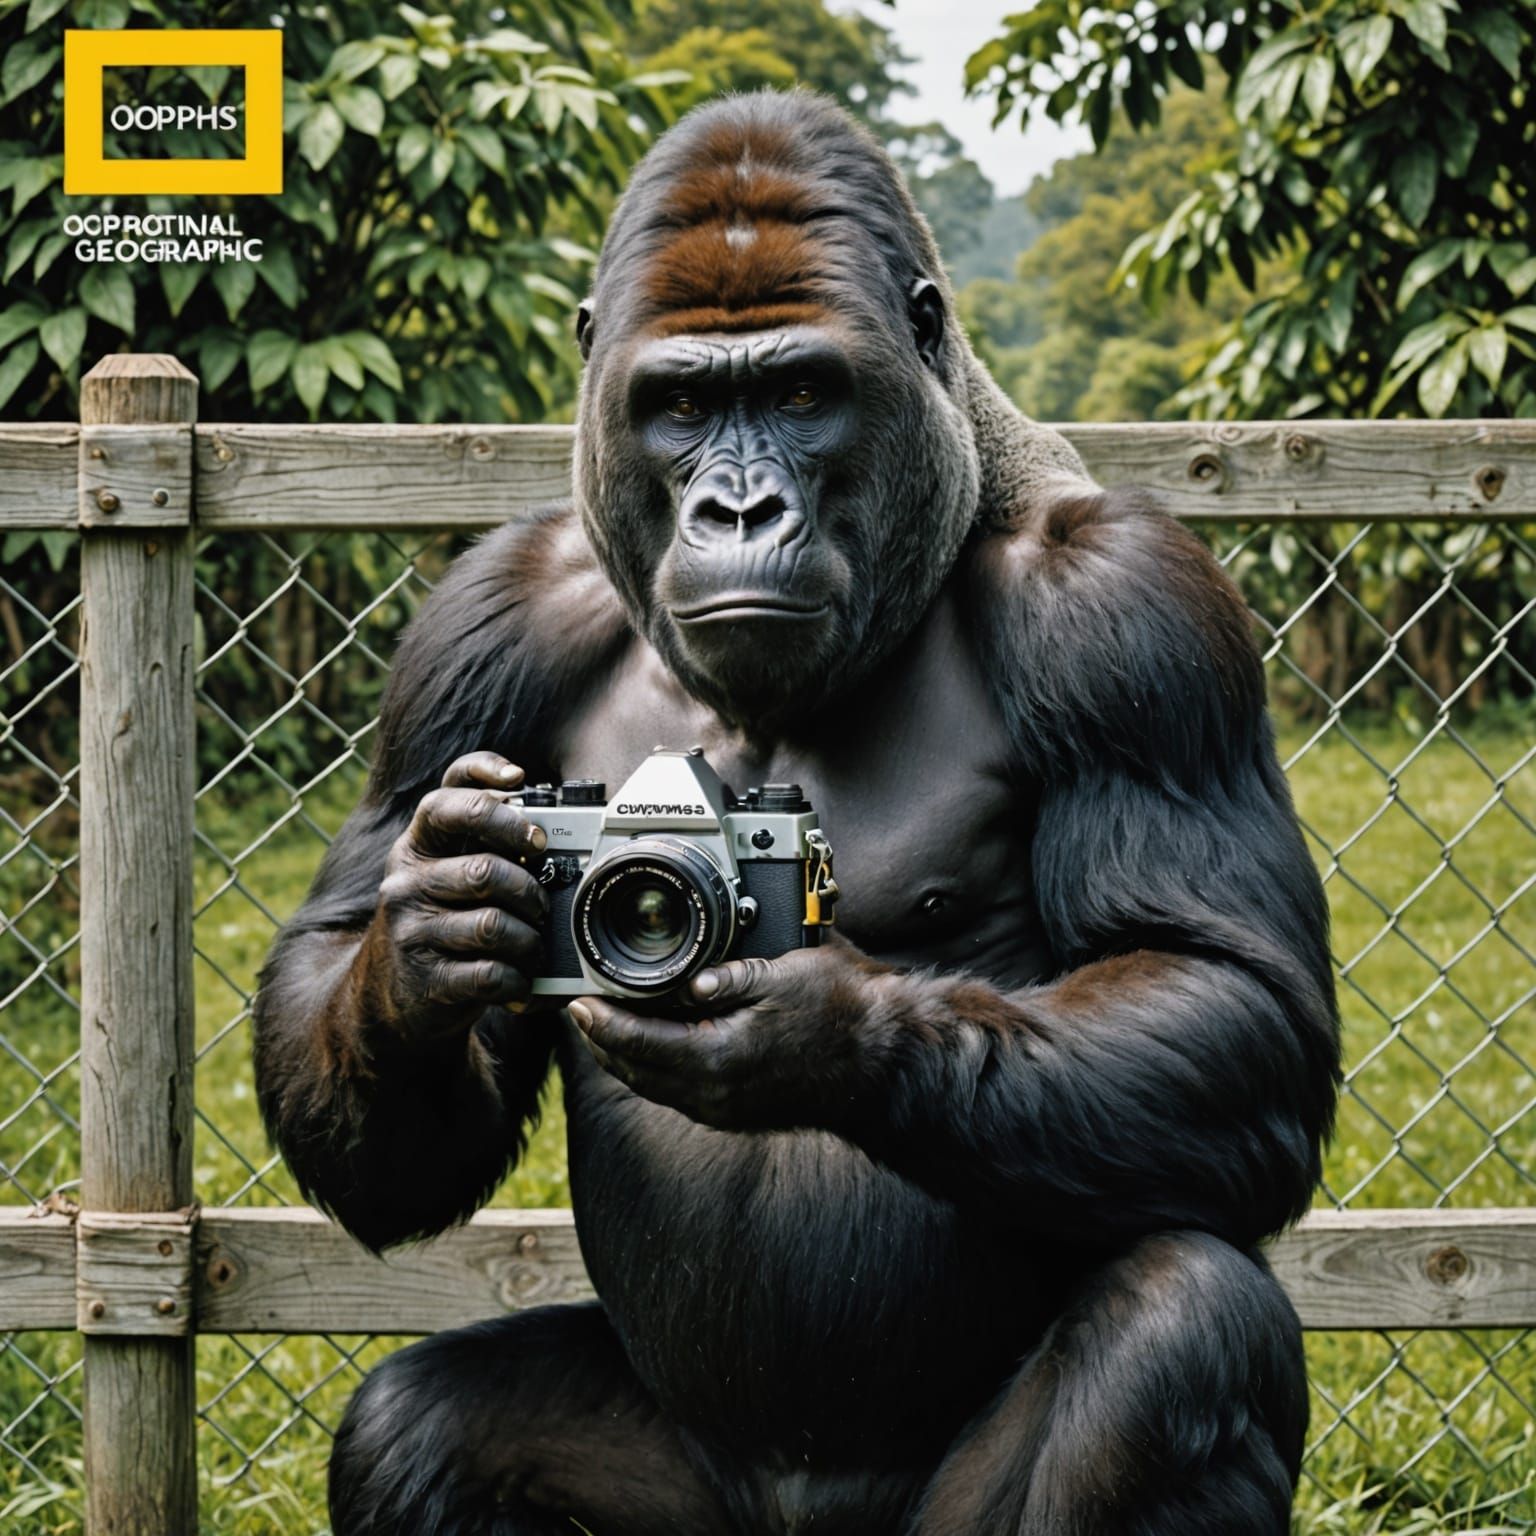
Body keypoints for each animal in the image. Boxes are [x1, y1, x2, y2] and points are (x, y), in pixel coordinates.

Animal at [253, 89, 1339, 1536]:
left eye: (801, 394)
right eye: (680, 406)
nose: (739, 506)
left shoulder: (1131, 606)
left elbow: (1229, 991)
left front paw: (821, 1032)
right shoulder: (474, 626)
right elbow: (358, 1025)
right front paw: (424, 943)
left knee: (1184, 1322)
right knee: (407, 1430)